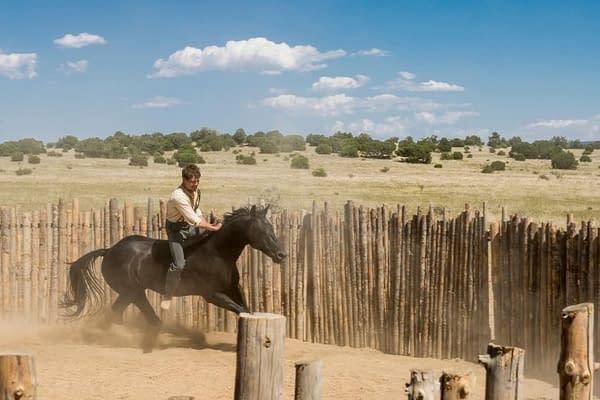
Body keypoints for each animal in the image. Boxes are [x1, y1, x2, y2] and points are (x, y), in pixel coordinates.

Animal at [61, 205, 286, 352]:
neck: (217, 253)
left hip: (130, 293)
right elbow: (241, 310)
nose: (281, 254)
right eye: (261, 230)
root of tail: (109, 251)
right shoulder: (212, 295)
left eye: (272, 228)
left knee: (117, 314)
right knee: (145, 317)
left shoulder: (232, 289)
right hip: (133, 292)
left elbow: (246, 309)